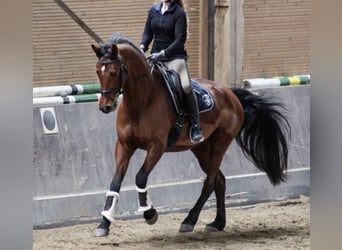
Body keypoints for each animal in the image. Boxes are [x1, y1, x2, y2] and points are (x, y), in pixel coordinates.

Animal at [89, 32, 290, 236]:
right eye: (98, 71)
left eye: (114, 72)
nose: (105, 106)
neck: (141, 102)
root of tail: (230, 93)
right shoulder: (124, 145)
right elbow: (115, 182)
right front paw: (104, 224)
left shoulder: (157, 146)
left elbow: (140, 177)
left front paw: (150, 214)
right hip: (201, 148)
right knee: (219, 181)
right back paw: (217, 223)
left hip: (220, 144)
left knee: (209, 182)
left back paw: (189, 220)